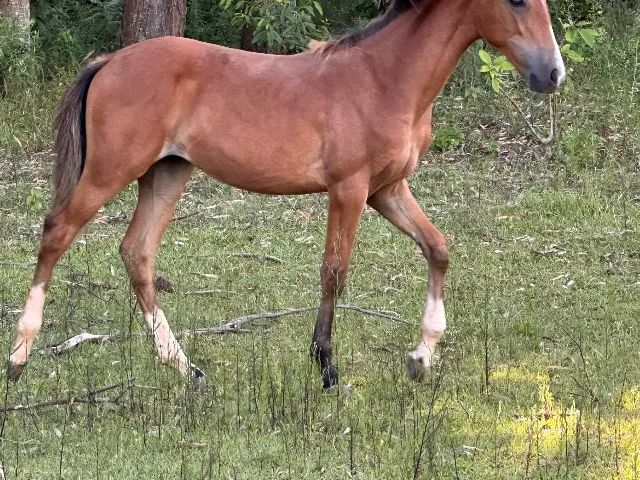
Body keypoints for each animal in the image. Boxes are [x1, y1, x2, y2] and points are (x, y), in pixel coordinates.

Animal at [7, 0, 565, 389]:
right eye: (517, 0)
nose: (552, 73)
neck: (384, 78)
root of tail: (108, 61)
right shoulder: (350, 189)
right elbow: (334, 272)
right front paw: (326, 368)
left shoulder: (388, 190)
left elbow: (438, 249)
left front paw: (421, 357)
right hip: (110, 171)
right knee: (56, 232)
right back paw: (18, 357)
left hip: (167, 174)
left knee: (136, 252)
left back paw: (185, 368)